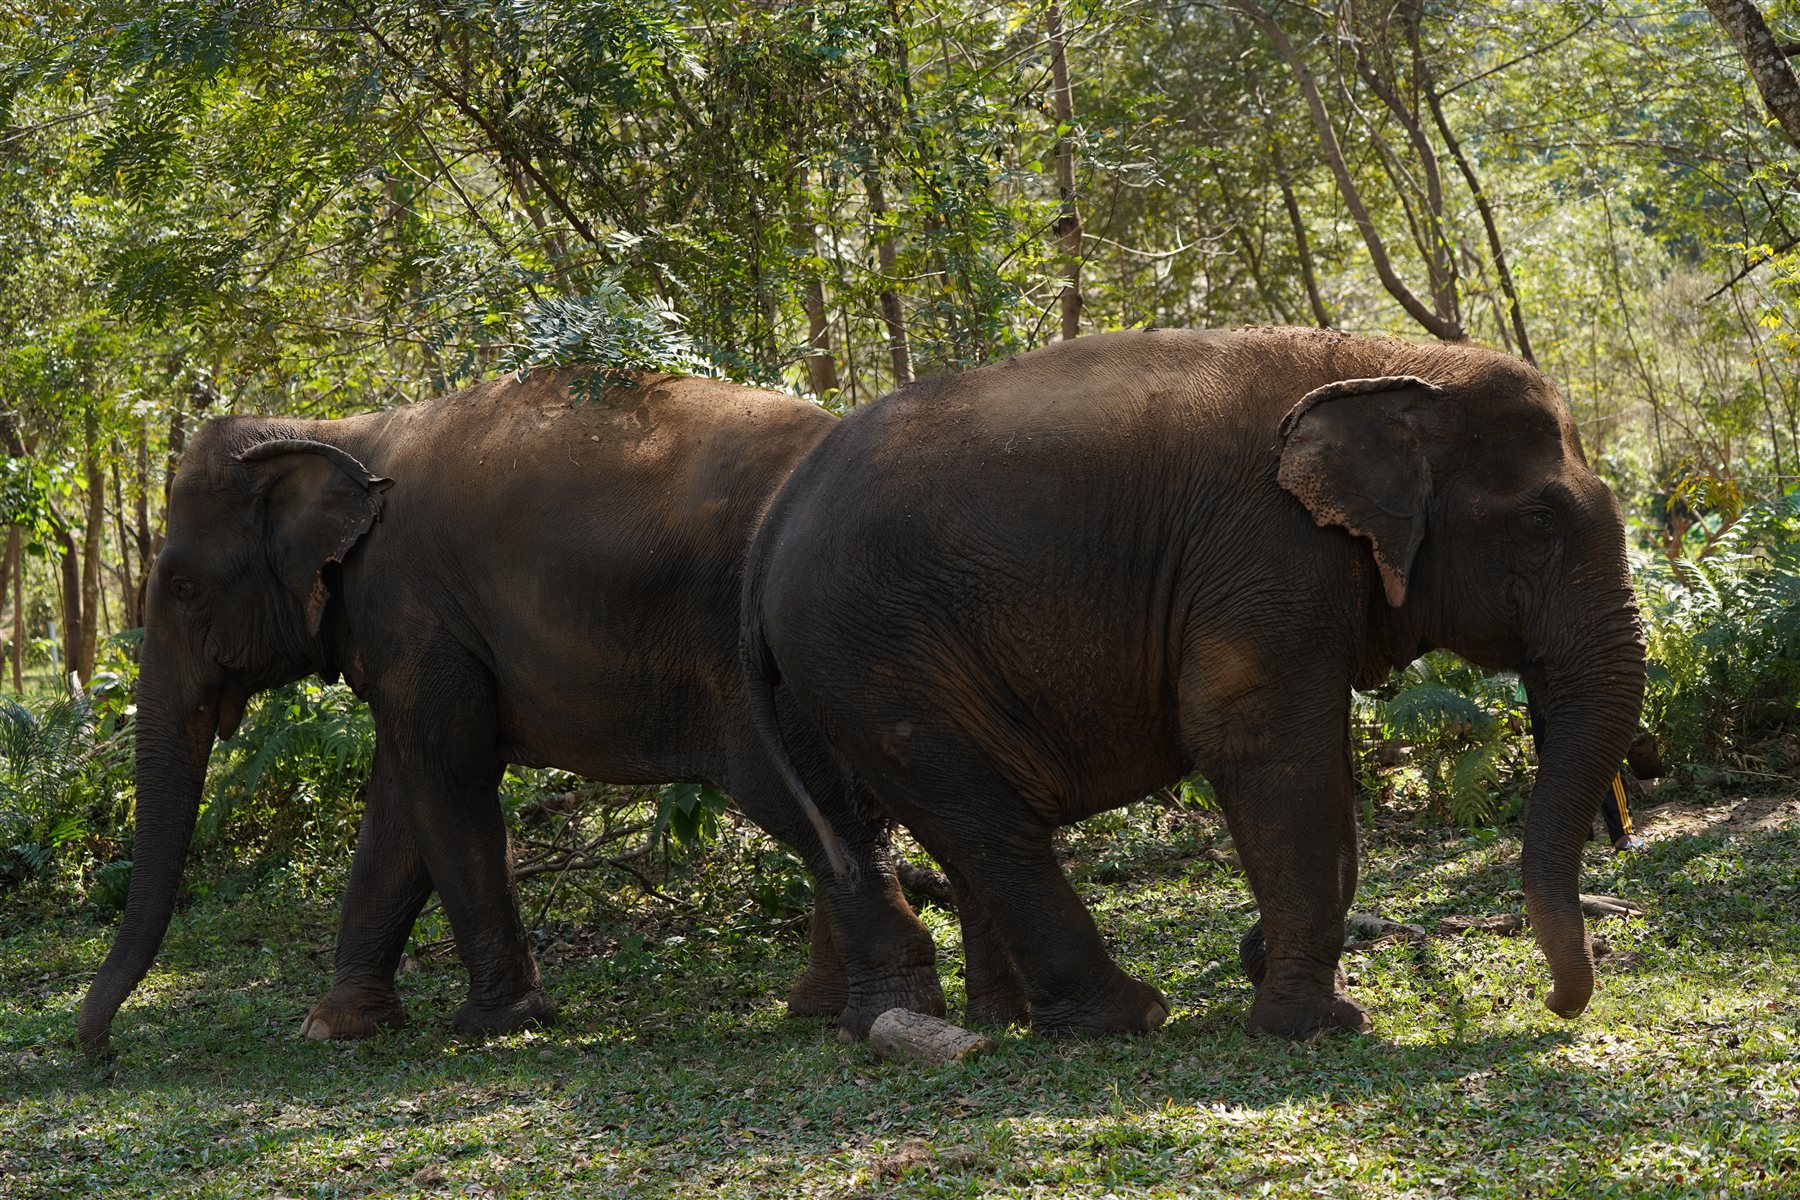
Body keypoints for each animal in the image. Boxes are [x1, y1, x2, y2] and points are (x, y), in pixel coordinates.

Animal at [78, 368, 948, 1061]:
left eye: (185, 587)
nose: (98, 1050)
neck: (334, 433)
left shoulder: (412, 610)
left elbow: (447, 780)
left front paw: (496, 1023)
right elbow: (399, 799)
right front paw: (338, 1025)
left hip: (751, 669)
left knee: (808, 803)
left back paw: (881, 1016)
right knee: (841, 808)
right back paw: (818, 1008)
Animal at [744, 326, 1645, 1039]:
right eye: (1540, 521)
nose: (1555, 1004)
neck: (1393, 361)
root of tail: (776, 516)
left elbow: (1322, 761)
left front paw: (1278, 974)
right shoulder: (1264, 547)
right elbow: (1258, 740)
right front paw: (1316, 1023)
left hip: (835, 673)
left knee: (883, 825)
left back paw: (992, 1019)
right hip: (871, 655)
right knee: (988, 824)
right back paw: (1127, 1016)